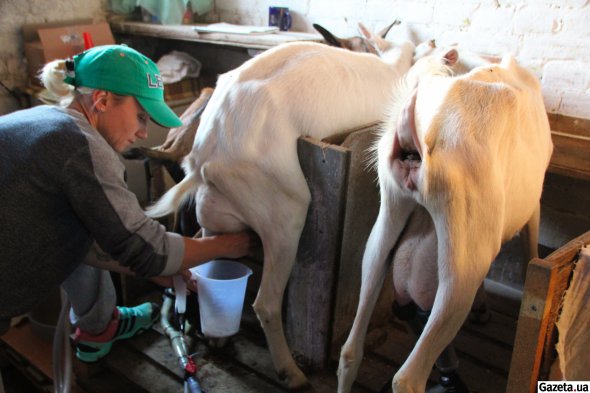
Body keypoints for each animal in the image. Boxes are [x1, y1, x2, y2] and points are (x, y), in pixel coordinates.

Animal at [148, 29, 416, 386]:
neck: (390, 66)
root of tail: (206, 154)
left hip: (216, 216)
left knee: (208, 270)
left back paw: (217, 336)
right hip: (285, 214)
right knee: (266, 303)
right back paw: (291, 372)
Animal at [338, 49, 556, 392]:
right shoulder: (533, 204)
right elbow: (530, 249)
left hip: (386, 223)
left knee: (350, 350)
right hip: (461, 262)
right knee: (408, 377)